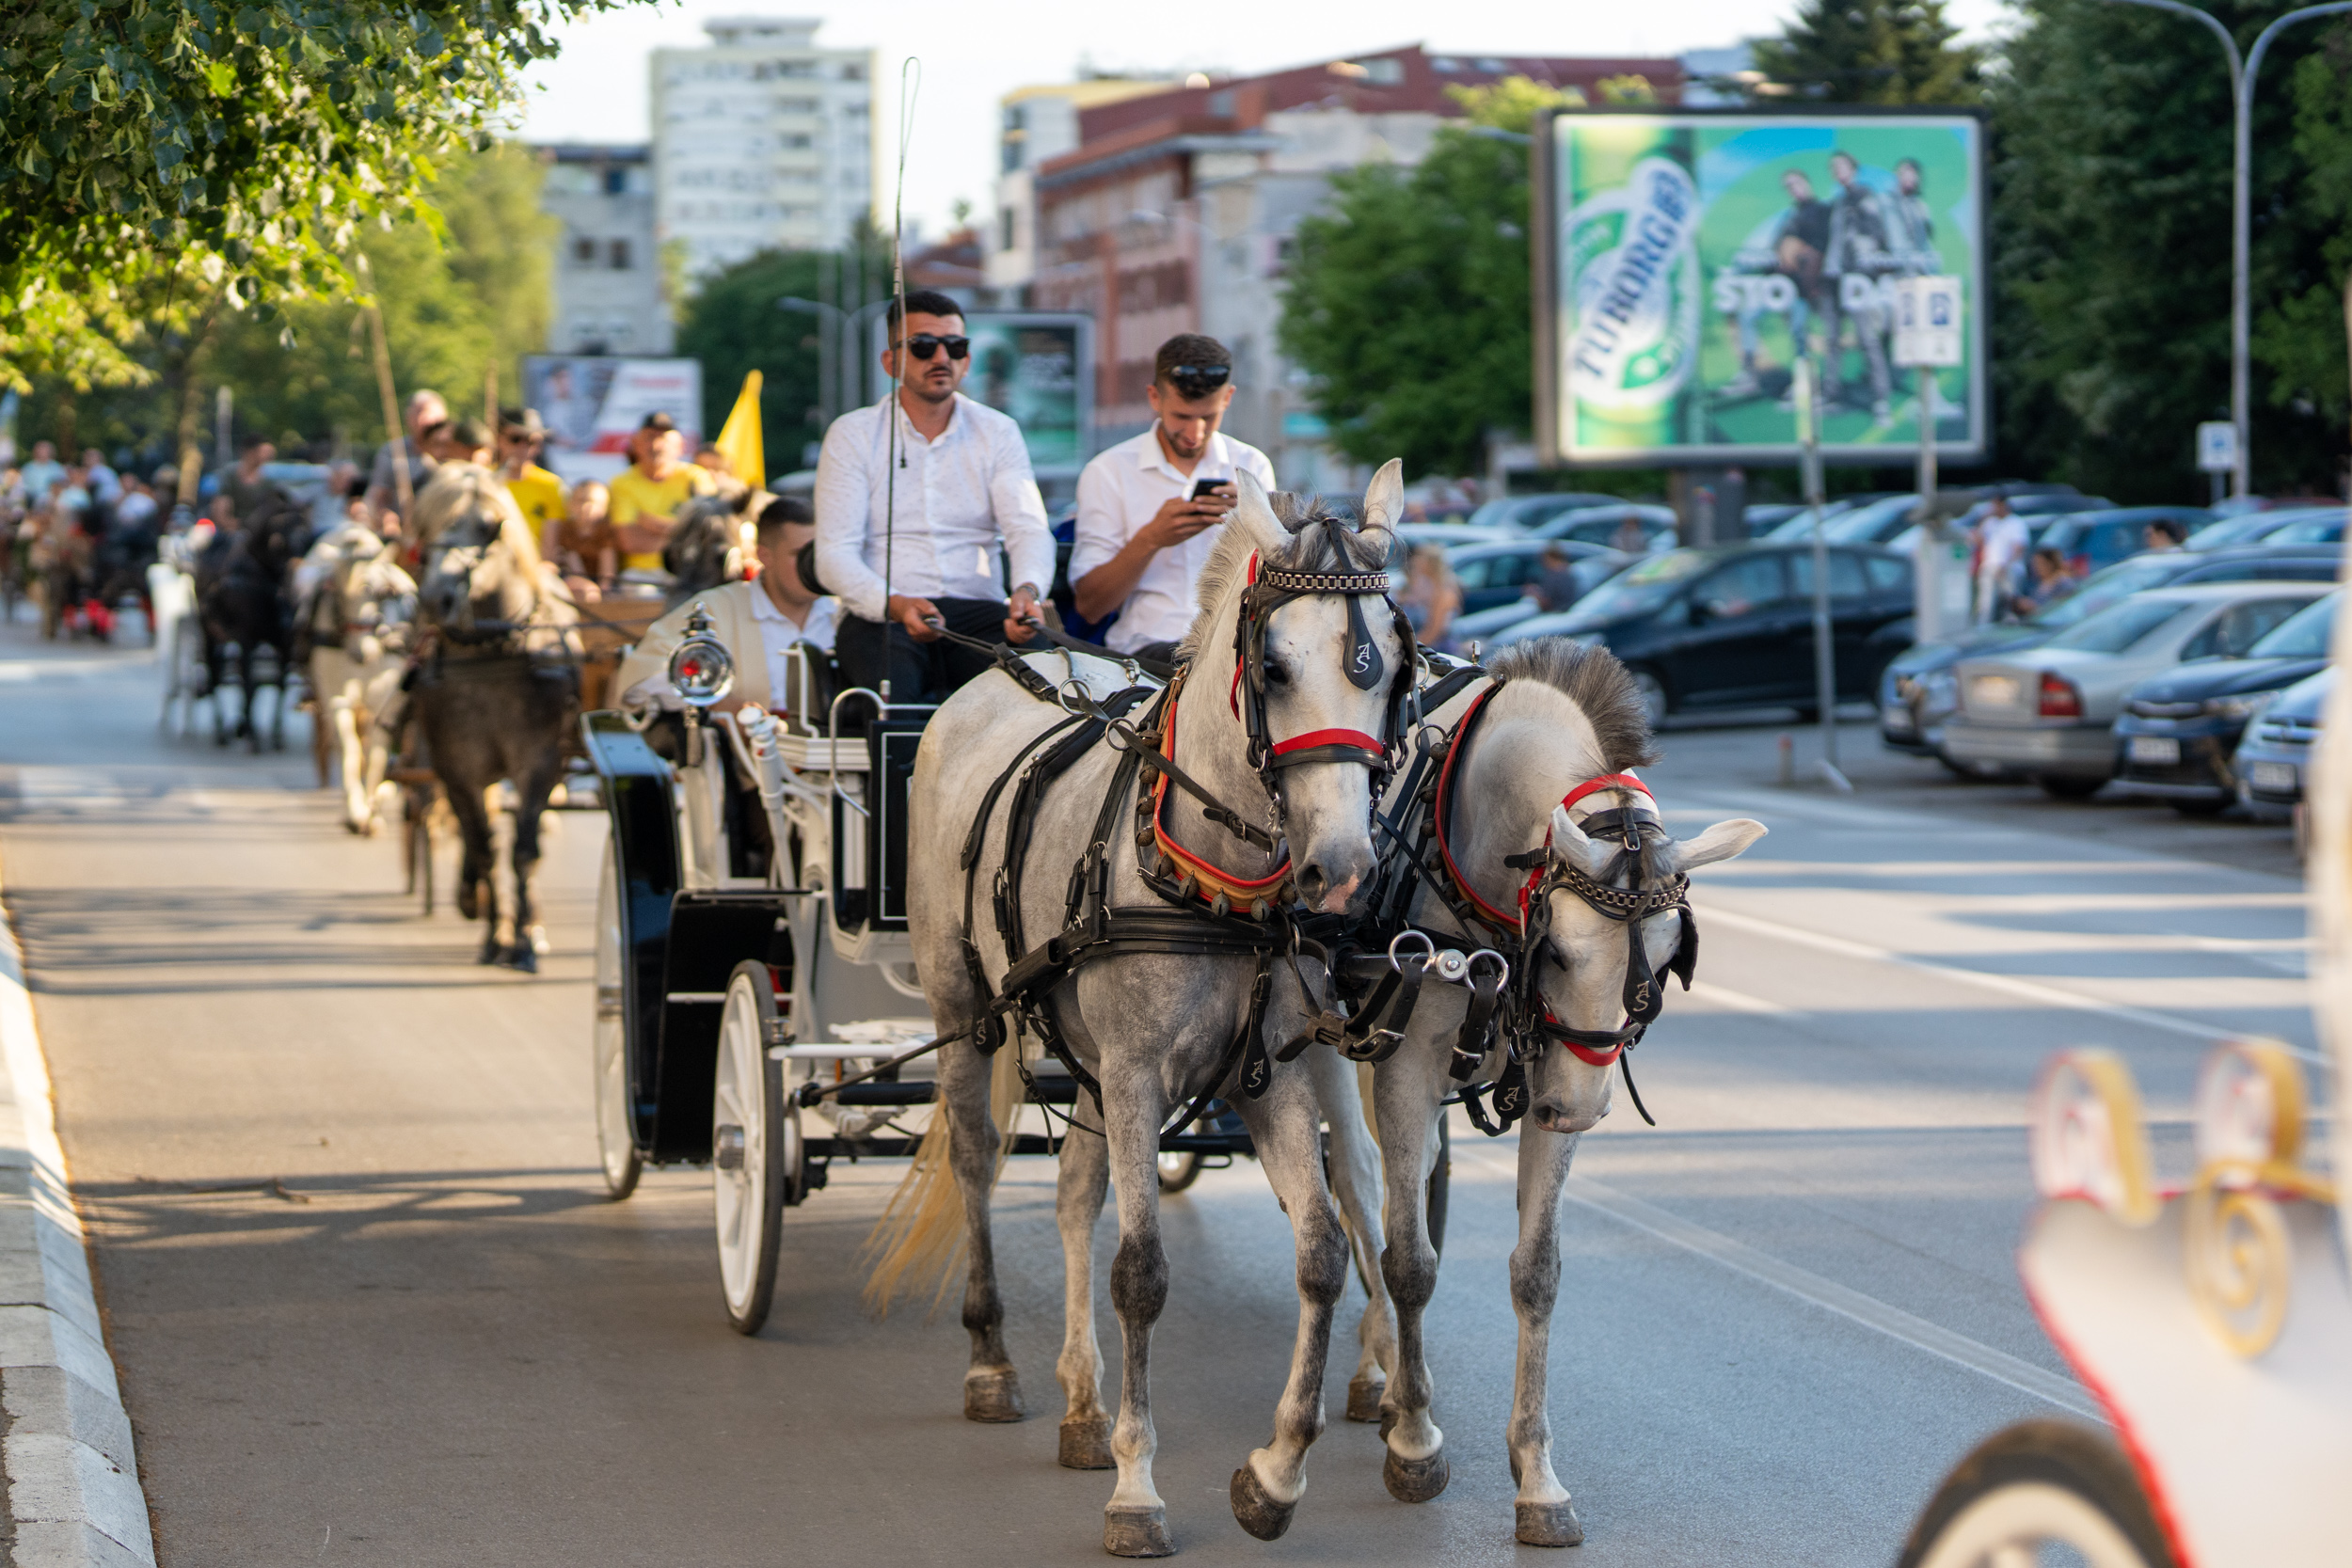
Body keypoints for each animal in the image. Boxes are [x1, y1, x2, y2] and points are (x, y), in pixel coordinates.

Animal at [411, 463, 580, 968]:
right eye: (425, 527)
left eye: (490, 526)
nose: (437, 599)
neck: (492, 655)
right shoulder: (456, 766)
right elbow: (484, 847)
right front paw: (493, 934)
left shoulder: (541, 760)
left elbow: (524, 849)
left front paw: (523, 940)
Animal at [903, 463, 1411, 1560]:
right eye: (1273, 665)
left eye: (1392, 669)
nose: (1346, 871)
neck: (1213, 883)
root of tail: (1028, 659)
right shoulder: (1138, 1075)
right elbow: (1140, 1271)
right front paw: (1139, 1490)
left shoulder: (1266, 1077)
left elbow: (1321, 1251)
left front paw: (1275, 1472)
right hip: (966, 1005)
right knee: (976, 1158)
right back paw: (994, 1360)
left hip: (1090, 1062)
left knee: (1074, 1191)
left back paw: (1083, 1403)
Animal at [1364, 643, 1769, 1551]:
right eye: (1558, 953)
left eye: (1670, 959)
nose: (1582, 1106)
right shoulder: (1403, 1072)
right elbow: (1411, 1260)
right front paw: (1415, 1442)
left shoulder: (1554, 1083)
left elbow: (1536, 1272)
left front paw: (1537, 1475)